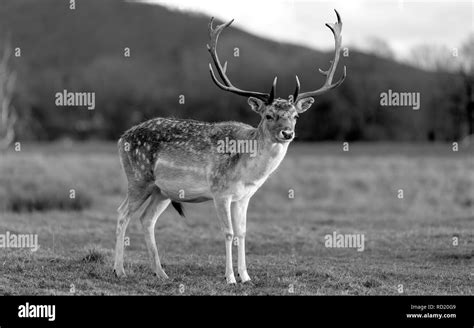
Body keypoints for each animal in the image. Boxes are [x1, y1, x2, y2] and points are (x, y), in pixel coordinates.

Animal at [113, 9, 346, 284]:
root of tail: (122, 137)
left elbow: (243, 232)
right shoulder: (220, 191)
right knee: (122, 213)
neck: (246, 171)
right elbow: (228, 232)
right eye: (269, 115)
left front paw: (246, 276)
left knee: (146, 219)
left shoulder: (243, 197)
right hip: (138, 178)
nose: (287, 133)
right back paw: (119, 270)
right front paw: (230, 278)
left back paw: (161, 273)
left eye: (295, 116)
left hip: (162, 191)